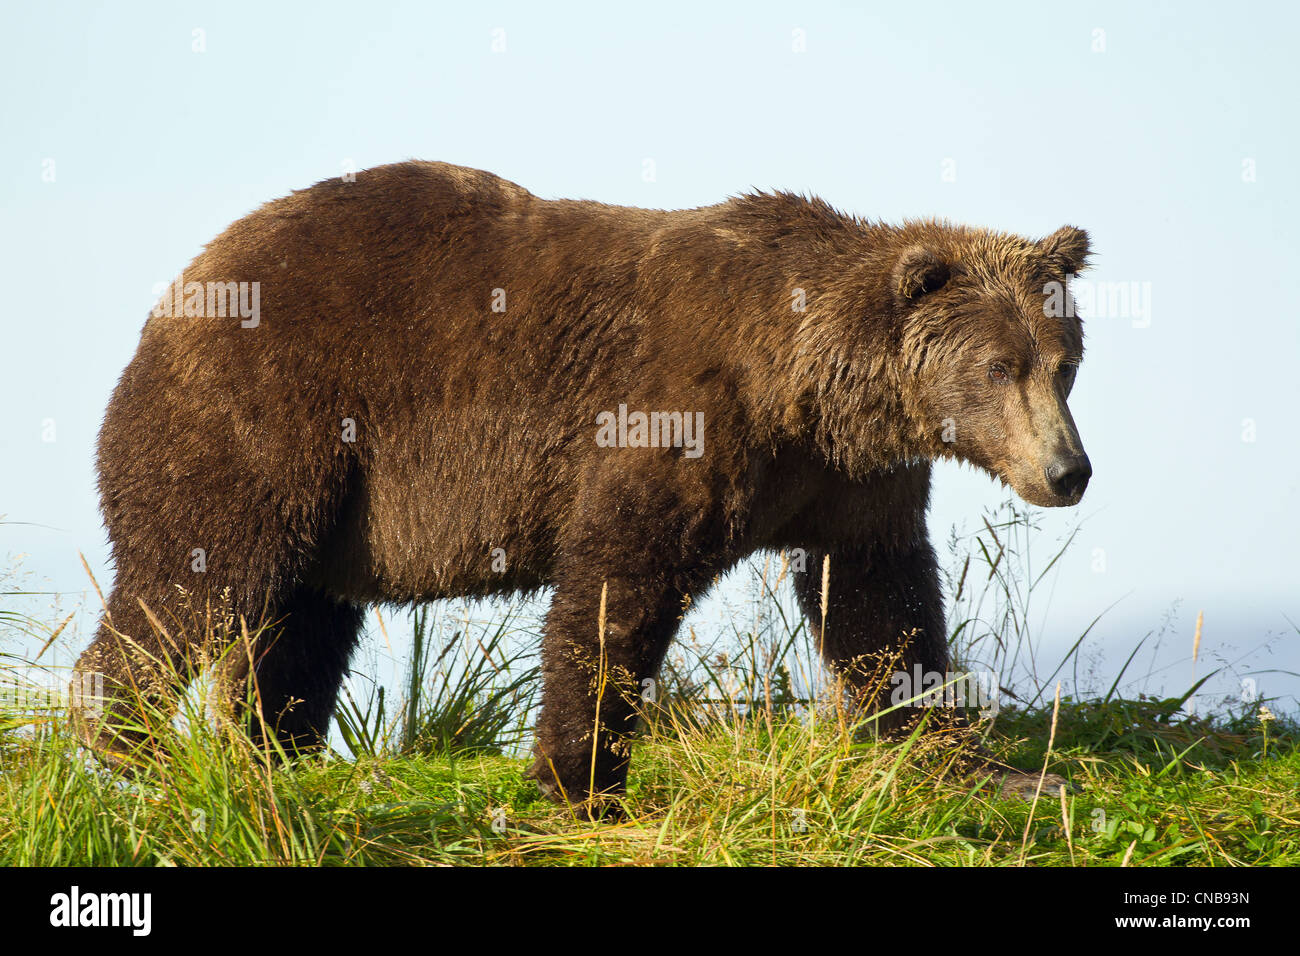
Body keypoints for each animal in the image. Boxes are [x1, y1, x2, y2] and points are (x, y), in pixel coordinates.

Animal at [74, 160, 1091, 812]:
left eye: (1065, 362)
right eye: (999, 367)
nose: (1068, 471)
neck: (804, 386)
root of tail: (181, 288)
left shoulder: (846, 481)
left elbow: (883, 601)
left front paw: (973, 761)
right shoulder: (683, 413)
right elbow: (616, 580)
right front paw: (581, 778)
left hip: (334, 500)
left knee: (298, 625)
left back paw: (273, 755)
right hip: (270, 416)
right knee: (198, 577)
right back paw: (127, 746)